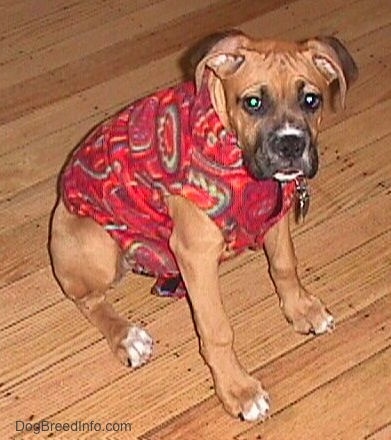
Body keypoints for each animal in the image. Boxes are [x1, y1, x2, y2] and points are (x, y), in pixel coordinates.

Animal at [50, 29, 360, 422]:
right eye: (253, 102)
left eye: (311, 100)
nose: (290, 145)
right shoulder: (196, 256)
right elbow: (217, 331)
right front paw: (239, 391)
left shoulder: (275, 219)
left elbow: (284, 266)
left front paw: (301, 309)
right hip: (98, 245)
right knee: (87, 300)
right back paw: (126, 337)